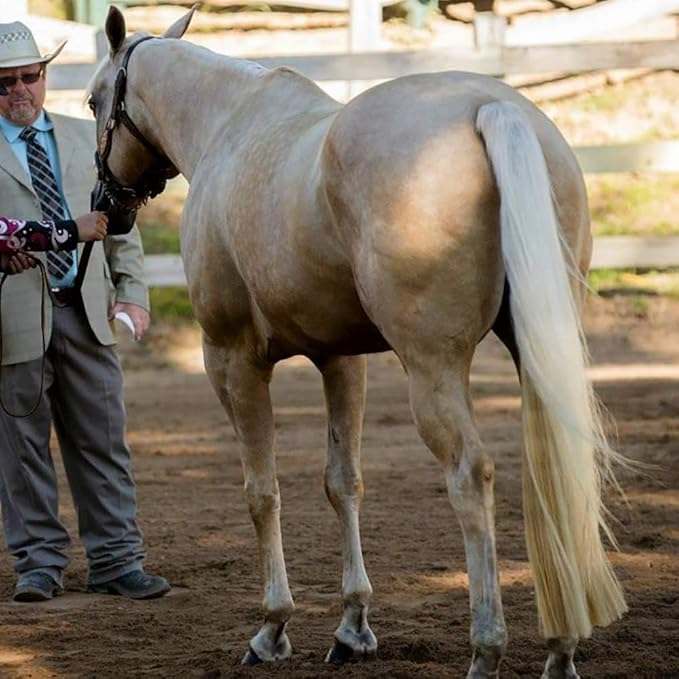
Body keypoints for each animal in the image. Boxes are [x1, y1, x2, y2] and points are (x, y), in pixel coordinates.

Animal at [88, 6, 627, 677]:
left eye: (92, 101)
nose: (105, 205)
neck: (228, 126)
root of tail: (492, 107)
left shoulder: (233, 362)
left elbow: (261, 492)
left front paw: (273, 627)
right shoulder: (341, 360)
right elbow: (342, 483)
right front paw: (352, 626)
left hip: (432, 370)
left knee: (470, 474)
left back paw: (487, 648)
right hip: (536, 351)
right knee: (548, 467)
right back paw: (561, 650)